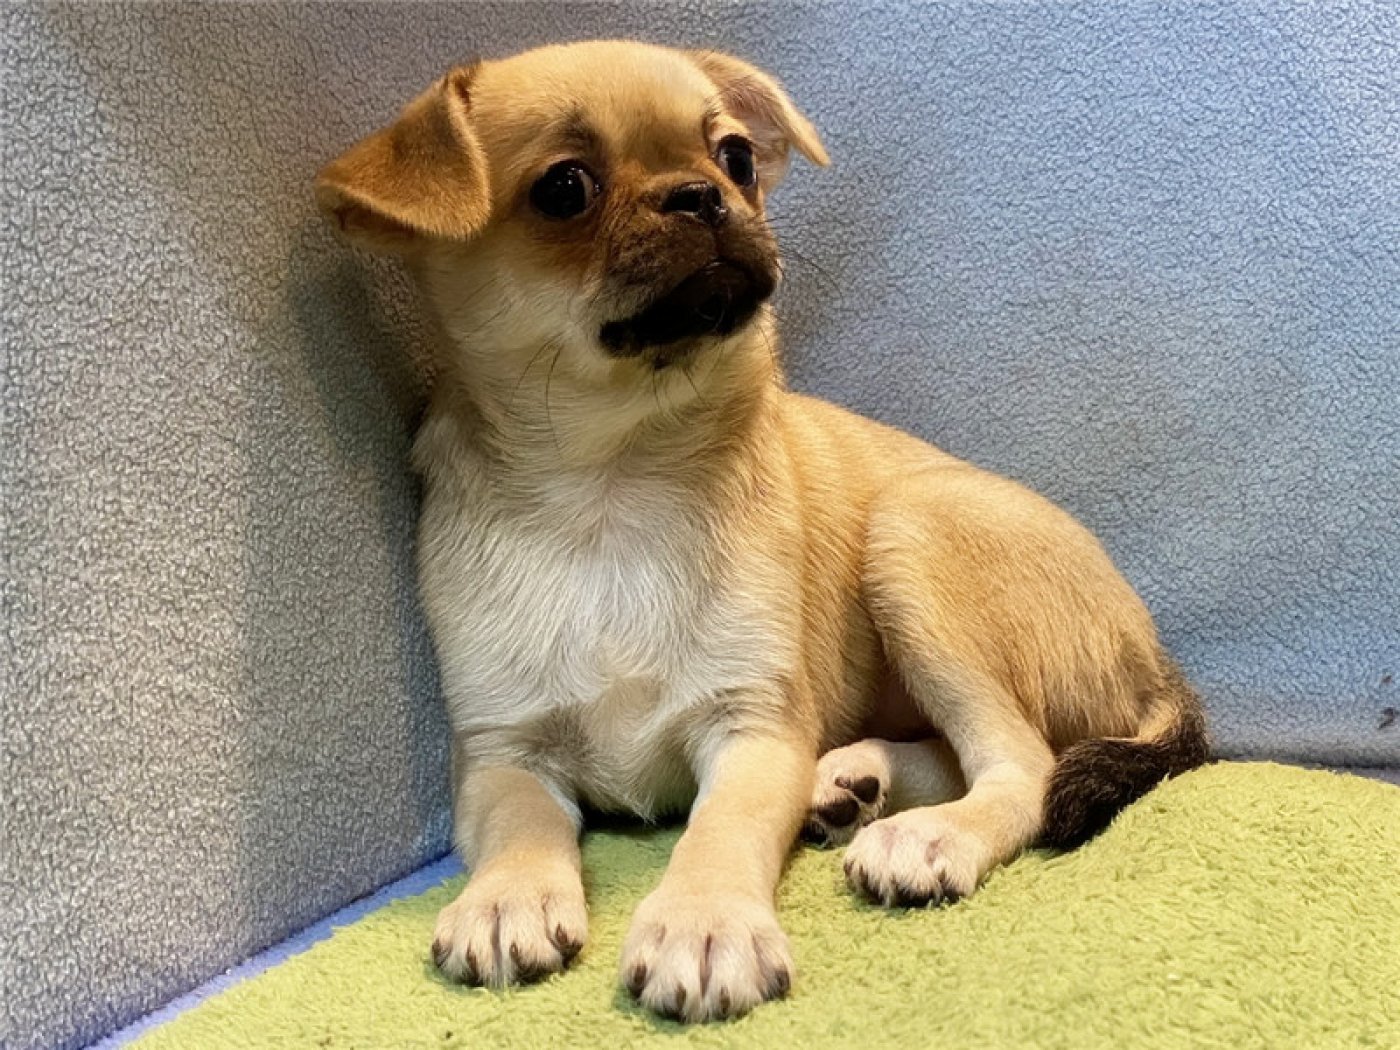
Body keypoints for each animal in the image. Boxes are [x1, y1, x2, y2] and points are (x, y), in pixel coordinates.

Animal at [315, 40, 1208, 1023]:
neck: (614, 488)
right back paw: (850, 780)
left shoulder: (751, 731)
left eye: (735, 157)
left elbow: (721, 830)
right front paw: (507, 894)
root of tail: (1156, 657)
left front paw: (705, 923)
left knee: (1024, 765)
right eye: (564, 189)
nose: (703, 195)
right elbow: (521, 825)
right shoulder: (503, 755)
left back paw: (928, 833)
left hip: (910, 534)